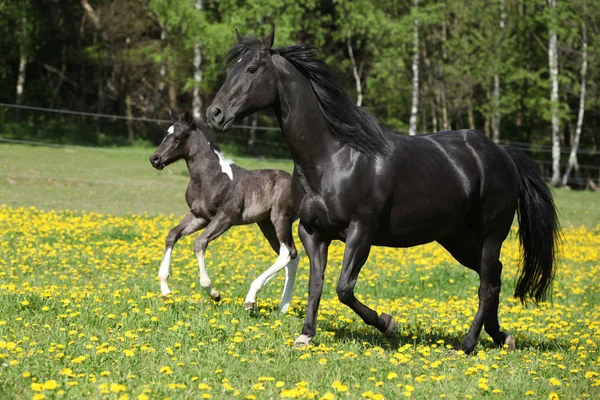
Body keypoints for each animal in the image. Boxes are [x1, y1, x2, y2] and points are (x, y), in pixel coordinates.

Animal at [150, 109, 300, 312]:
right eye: (166, 134)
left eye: (178, 138)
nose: (155, 159)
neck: (210, 177)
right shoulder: (199, 216)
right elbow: (172, 234)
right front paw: (166, 291)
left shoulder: (225, 217)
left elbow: (199, 243)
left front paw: (214, 293)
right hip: (266, 224)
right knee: (293, 257)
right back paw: (282, 308)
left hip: (280, 219)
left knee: (287, 253)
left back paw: (251, 299)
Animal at [205, 28, 556, 354]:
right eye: (232, 69)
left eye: (252, 68)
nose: (215, 114)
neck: (333, 156)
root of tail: (503, 155)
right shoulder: (311, 232)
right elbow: (315, 285)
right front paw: (305, 336)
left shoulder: (361, 232)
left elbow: (344, 288)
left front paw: (388, 324)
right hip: (458, 240)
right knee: (494, 277)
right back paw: (502, 337)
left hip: (491, 236)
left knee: (487, 285)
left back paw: (467, 344)